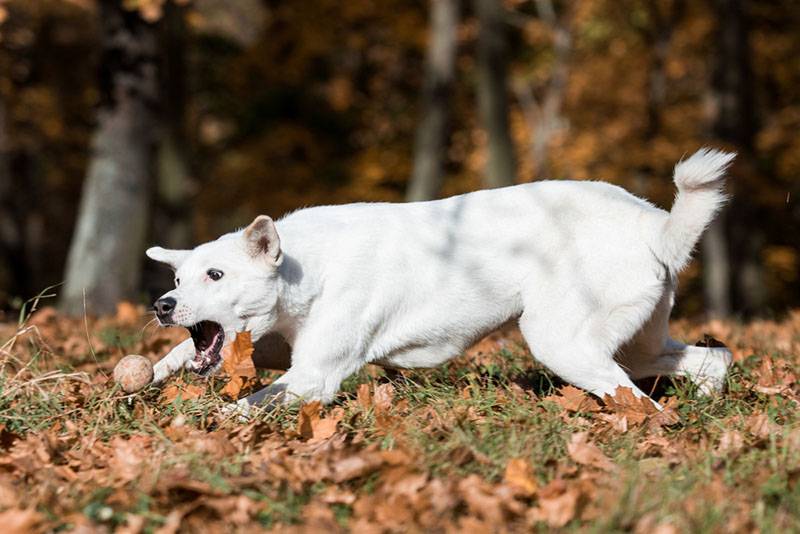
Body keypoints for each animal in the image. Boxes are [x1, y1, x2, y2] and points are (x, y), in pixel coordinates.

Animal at [147, 149, 736, 412]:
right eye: (176, 275)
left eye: (216, 274)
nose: (162, 305)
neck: (305, 267)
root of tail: (652, 225)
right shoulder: (280, 348)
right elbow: (181, 357)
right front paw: (146, 375)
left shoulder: (314, 375)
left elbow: (246, 405)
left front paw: (207, 424)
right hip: (635, 343)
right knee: (713, 357)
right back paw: (709, 403)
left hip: (562, 343)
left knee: (640, 400)